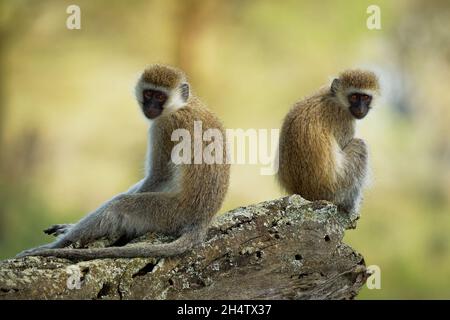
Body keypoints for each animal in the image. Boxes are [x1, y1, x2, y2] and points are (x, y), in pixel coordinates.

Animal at [16, 64, 230, 260]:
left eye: (160, 97)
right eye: (149, 93)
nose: (151, 107)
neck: (181, 105)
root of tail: (201, 220)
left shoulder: (164, 127)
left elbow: (159, 175)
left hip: (168, 213)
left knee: (118, 205)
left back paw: (59, 245)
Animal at [278, 69, 380, 216]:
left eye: (365, 97)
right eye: (354, 97)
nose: (360, 109)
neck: (334, 98)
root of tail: (305, 194)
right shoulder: (343, 121)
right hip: (336, 189)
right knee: (360, 146)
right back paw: (349, 206)